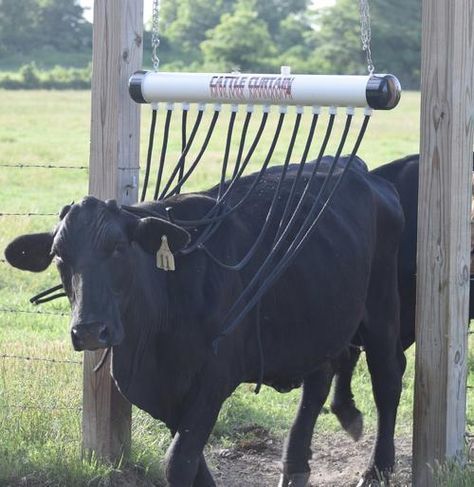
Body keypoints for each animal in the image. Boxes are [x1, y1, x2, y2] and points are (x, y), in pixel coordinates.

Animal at [4, 158, 404, 486]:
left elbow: (179, 462)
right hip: (315, 323)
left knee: (387, 380)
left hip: (383, 314)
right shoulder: (165, 394)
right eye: (58, 255)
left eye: (118, 248)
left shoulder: (213, 378)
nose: (89, 331)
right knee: (318, 382)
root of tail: (368, 177)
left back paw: (377, 470)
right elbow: (192, 463)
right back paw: (296, 468)